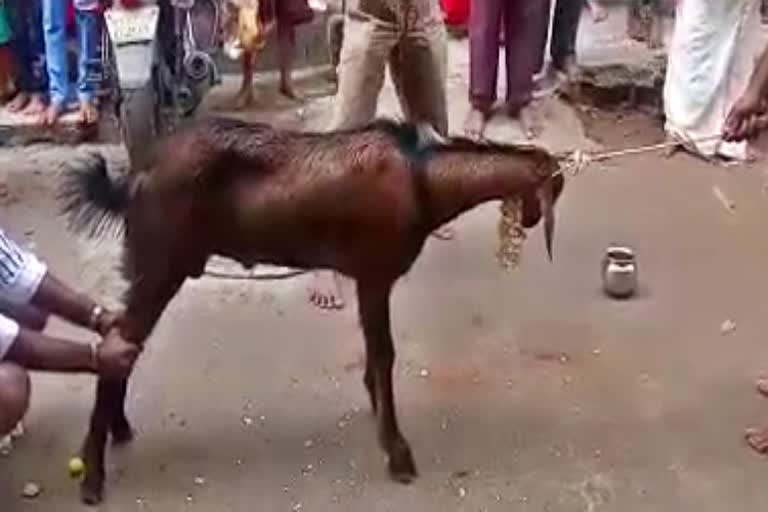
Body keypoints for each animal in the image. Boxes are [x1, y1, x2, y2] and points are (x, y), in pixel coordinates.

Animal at [58, 119, 564, 504]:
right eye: (551, 186)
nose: (532, 219)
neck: (422, 180)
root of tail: (132, 178)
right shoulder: (375, 273)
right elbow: (384, 355)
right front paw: (398, 453)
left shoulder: (365, 278)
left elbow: (374, 353)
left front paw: (378, 414)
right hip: (161, 265)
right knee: (120, 341)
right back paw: (92, 477)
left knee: (121, 341)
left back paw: (118, 430)